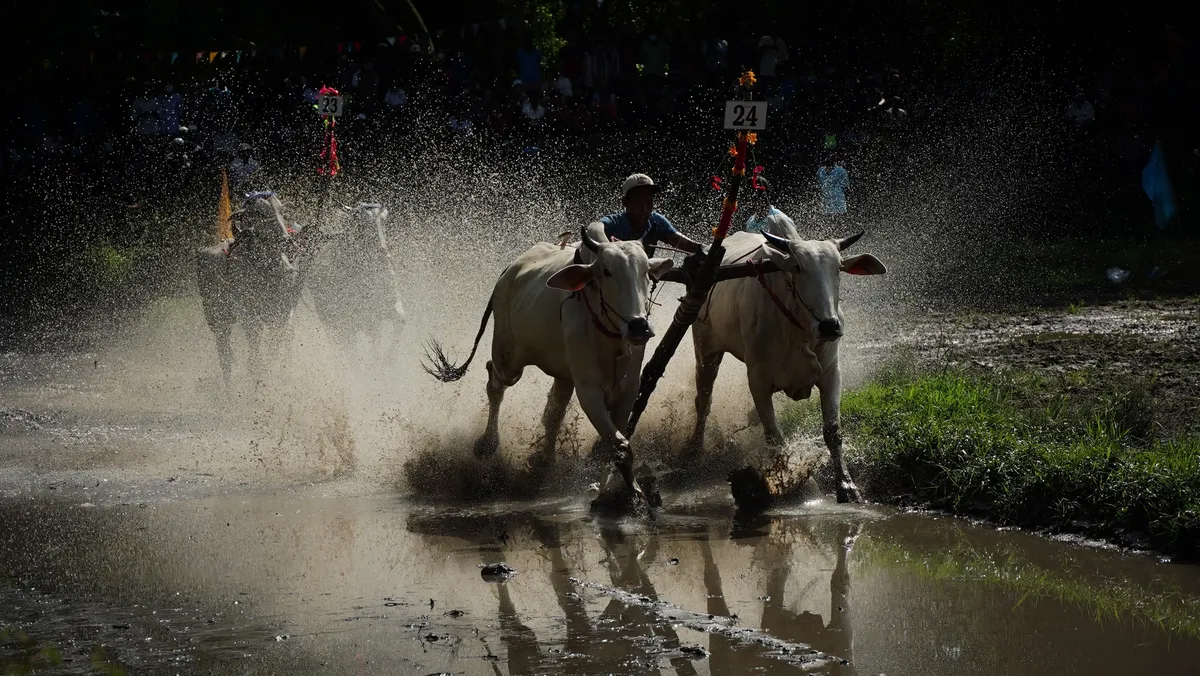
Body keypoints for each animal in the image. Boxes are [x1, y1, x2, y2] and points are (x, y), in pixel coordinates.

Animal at [196, 193, 304, 389]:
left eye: (281, 210)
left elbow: (275, 349)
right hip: (218, 321)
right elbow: (255, 360)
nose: (287, 241)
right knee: (225, 360)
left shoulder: (280, 316)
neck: (265, 271)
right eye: (258, 213)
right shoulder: (249, 318)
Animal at [424, 222, 676, 497]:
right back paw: (487, 444)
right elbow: (618, 445)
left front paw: (619, 487)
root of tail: (509, 270)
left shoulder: (627, 390)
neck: (610, 340)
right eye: (607, 271)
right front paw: (626, 493)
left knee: (554, 411)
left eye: (645, 271)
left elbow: (613, 445)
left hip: (563, 374)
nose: (639, 326)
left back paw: (544, 461)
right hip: (508, 357)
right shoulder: (589, 391)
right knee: (496, 383)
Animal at [691, 213, 888, 504]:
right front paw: (790, 484)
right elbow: (774, 437)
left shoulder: (831, 374)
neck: (798, 329)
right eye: (797, 267)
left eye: (838, 269)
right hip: (705, 350)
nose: (830, 326)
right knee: (703, 401)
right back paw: (693, 451)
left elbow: (833, 432)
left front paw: (847, 485)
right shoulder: (758, 381)